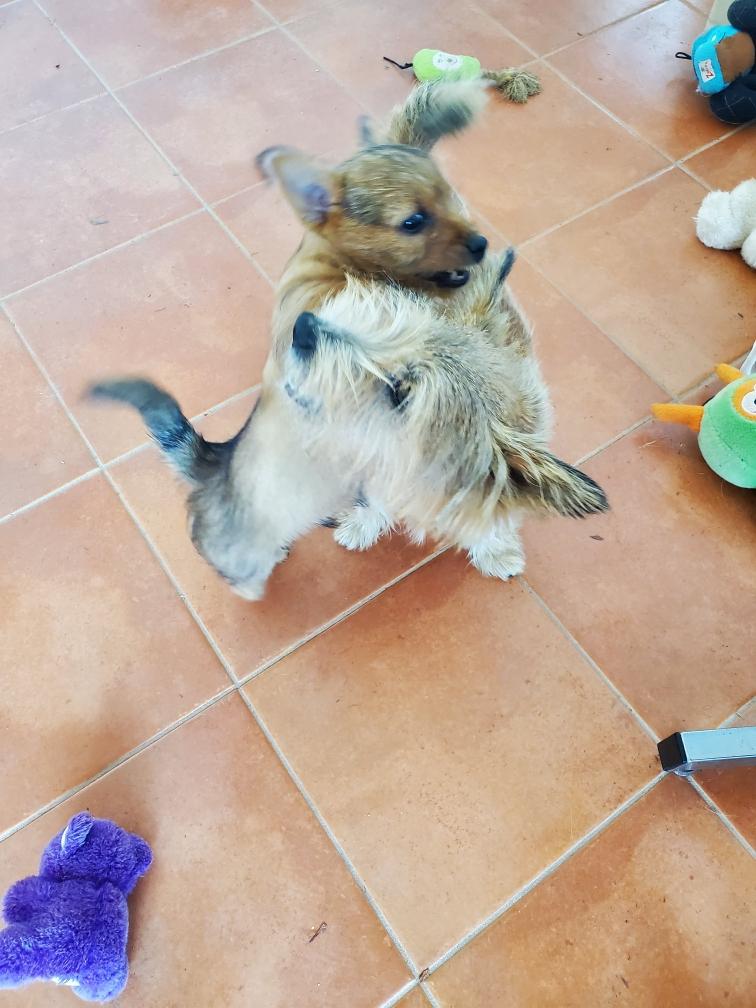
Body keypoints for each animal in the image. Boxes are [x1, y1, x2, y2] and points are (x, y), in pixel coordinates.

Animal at [90, 250, 608, 600]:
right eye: (404, 326)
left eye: (400, 392)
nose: (305, 327)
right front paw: (360, 525)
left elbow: (497, 510)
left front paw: (497, 549)